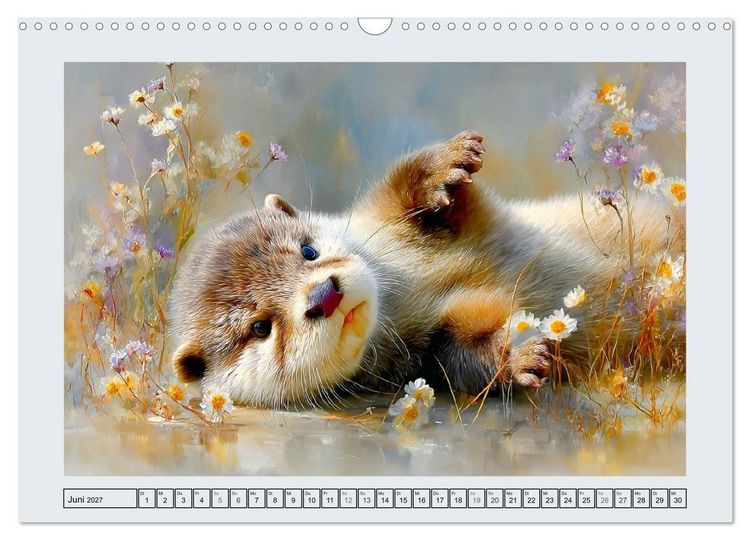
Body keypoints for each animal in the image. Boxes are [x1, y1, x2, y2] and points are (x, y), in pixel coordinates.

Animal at [169, 131, 678, 407]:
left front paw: (447, 164)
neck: (407, 289)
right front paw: (520, 355)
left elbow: (406, 186)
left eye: (307, 251)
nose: (324, 295)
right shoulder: (424, 359)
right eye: (259, 328)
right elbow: (464, 357)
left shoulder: (381, 216)